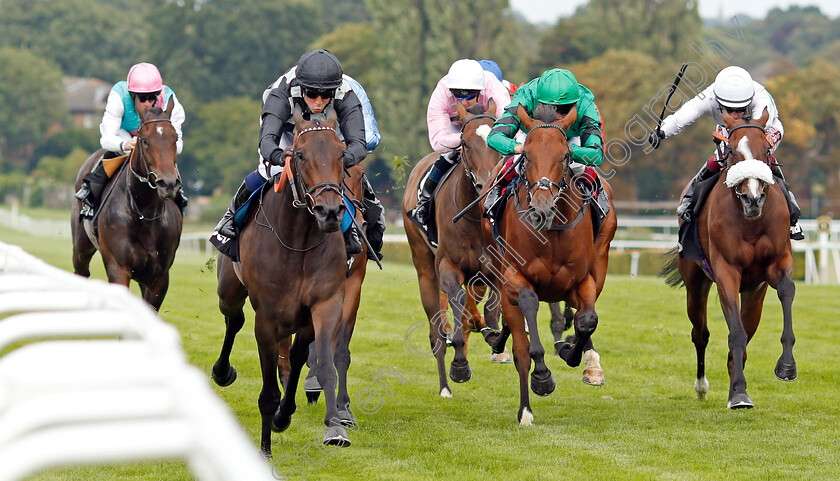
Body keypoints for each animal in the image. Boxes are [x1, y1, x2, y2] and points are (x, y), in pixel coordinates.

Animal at [72, 98, 184, 312]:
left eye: (175, 139)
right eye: (145, 140)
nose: (168, 184)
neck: (144, 212)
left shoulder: (160, 277)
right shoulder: (118, 267)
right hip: (81, 246)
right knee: (81, 271)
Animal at [402, 99, 506, 396]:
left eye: (497, 142)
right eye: (466, 144)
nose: (485, 186)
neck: (473, 217)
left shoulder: (497, 266)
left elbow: (492, 306)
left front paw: (493, 336)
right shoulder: (448, 266)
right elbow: (457, 300)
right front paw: (459, 364)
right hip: (424, 266)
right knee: (436, 330)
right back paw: (445, 385)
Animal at [486, 105, 616, 424]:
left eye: (564, 157)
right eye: (527, 157)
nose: (540, 209)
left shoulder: (582, 281)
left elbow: (587, 320)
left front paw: (570, 352)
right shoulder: (513, 277)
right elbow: (528, 314)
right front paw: (542, 377)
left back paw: (588, 363)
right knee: (518, 342)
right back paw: (525, 408)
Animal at [664, 109, 796, 408]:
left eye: (766, 150)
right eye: (733, 151)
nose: (753, 199)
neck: (751, 223)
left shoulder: (777, 263)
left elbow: (787, 291)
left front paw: (786, 365)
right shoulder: (726, 272)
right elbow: (734, 333)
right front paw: (739, 393)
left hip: (754, 294)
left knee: (746, 333)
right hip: (695, 283)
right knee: (701, 334)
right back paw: (703, 386)